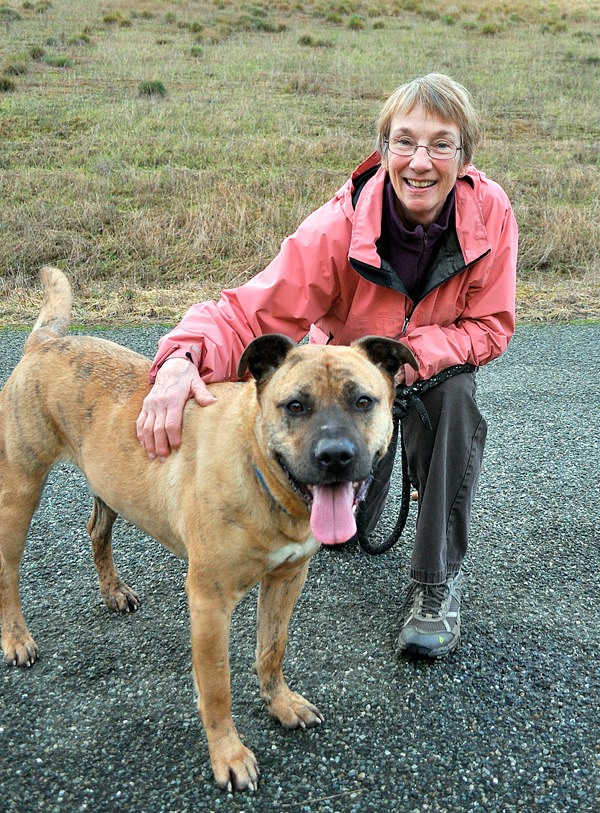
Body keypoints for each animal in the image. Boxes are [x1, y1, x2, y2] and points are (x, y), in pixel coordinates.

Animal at [0, 266, 418, 788]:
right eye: (295, 406)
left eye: (363, 401)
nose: (336, 456)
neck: (261, 473)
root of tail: (46, 341)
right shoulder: (209, 602)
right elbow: (217, 687)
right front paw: (228, 755)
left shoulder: (286, 580)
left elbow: (271, 649)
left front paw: (279, 703)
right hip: (20, 489)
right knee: (8, 569)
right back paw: (16, 638)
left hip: (109, 485)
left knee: (97, 530)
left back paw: (113, 591)